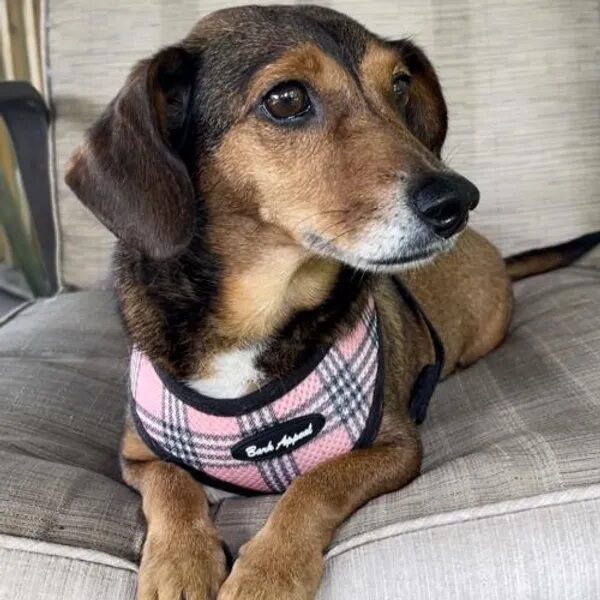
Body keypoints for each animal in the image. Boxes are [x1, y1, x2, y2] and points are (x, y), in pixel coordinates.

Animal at [65, 5, 600, 600]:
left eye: (399, 85)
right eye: (286, 100)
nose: (458, 202)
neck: (257, 318)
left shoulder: (394, 447)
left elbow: (315, 484)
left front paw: (268, 573)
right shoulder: (135, 456)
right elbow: (172, 486)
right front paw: (180, 564)